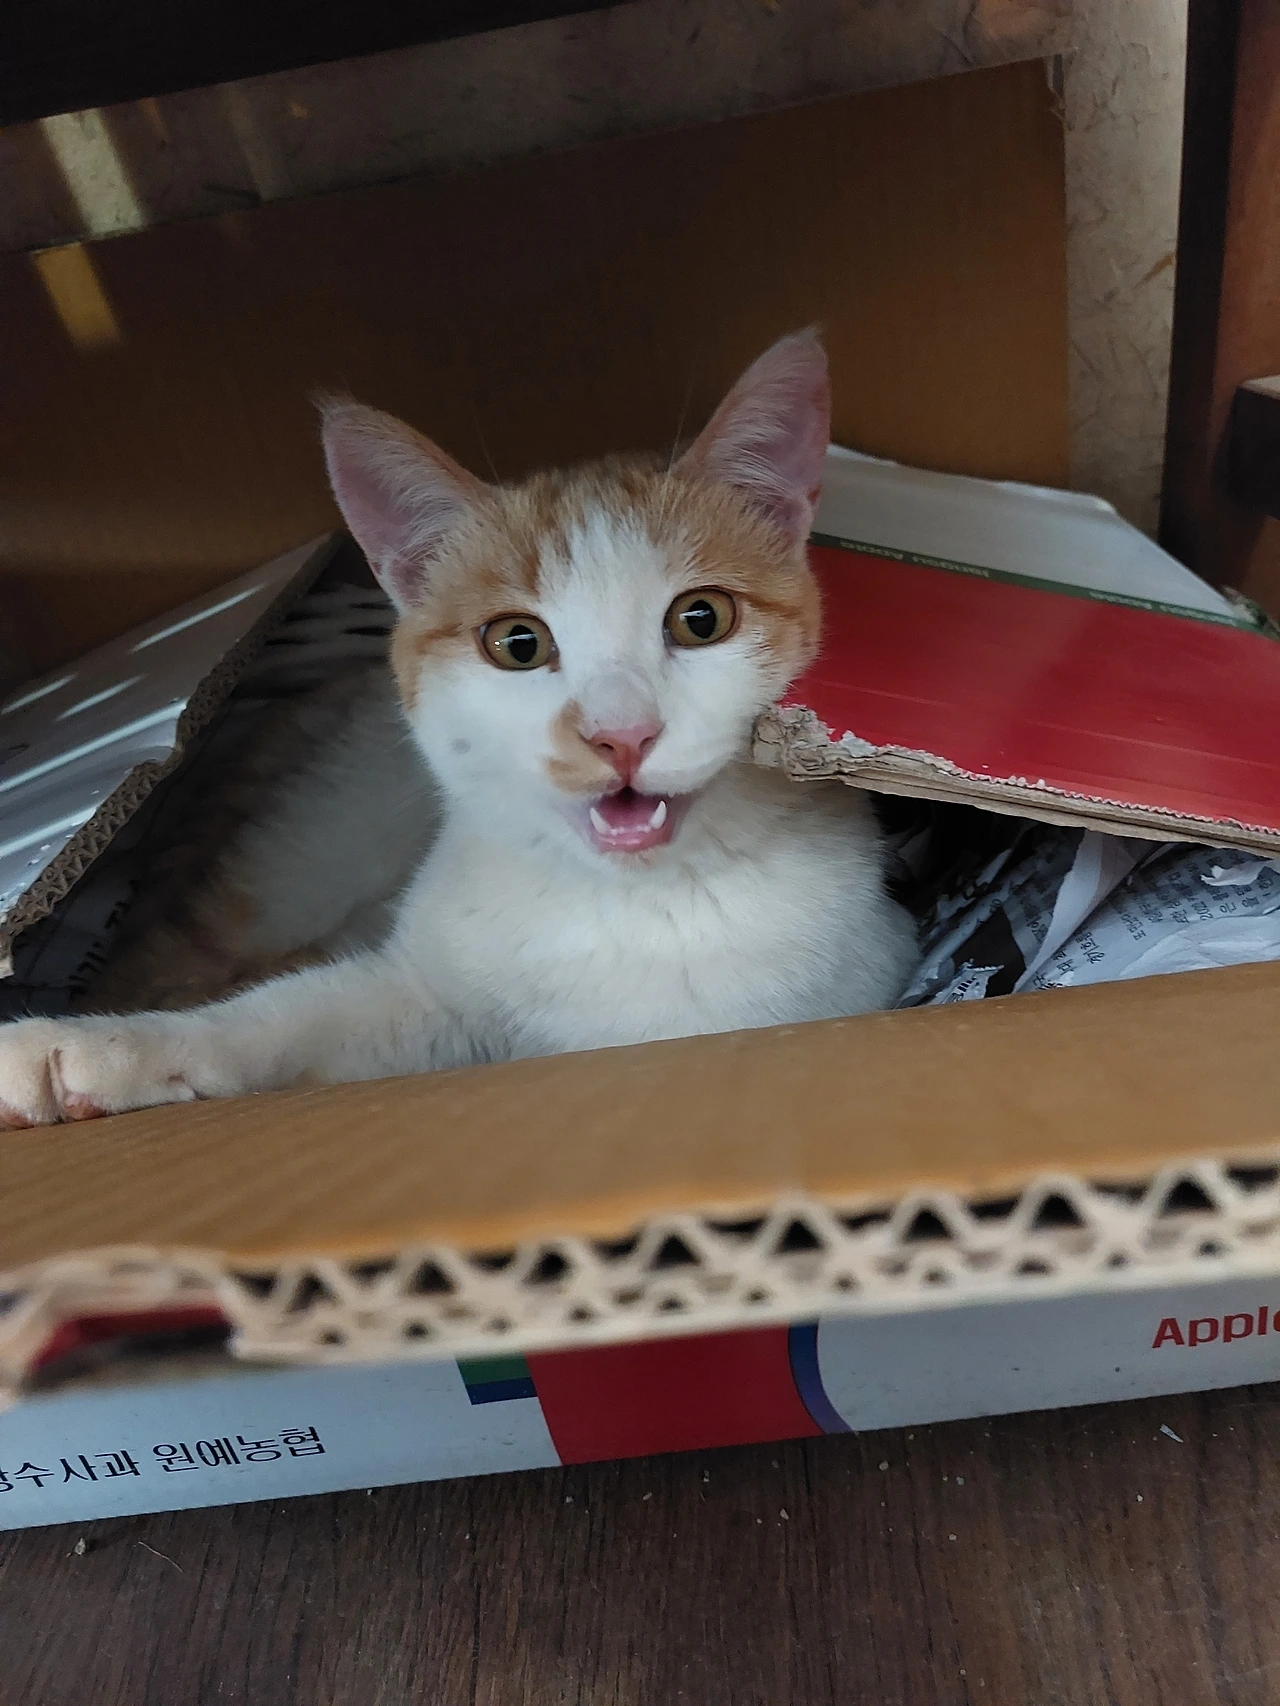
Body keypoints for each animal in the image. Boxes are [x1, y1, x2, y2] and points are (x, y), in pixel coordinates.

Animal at [0, 329, 916, 1128]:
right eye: (518, 643)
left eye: (702, 619)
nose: (620, 735)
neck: (629, 906)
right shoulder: (421, 993)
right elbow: (283, 1017)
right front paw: (100, 1052)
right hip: (300, 853)